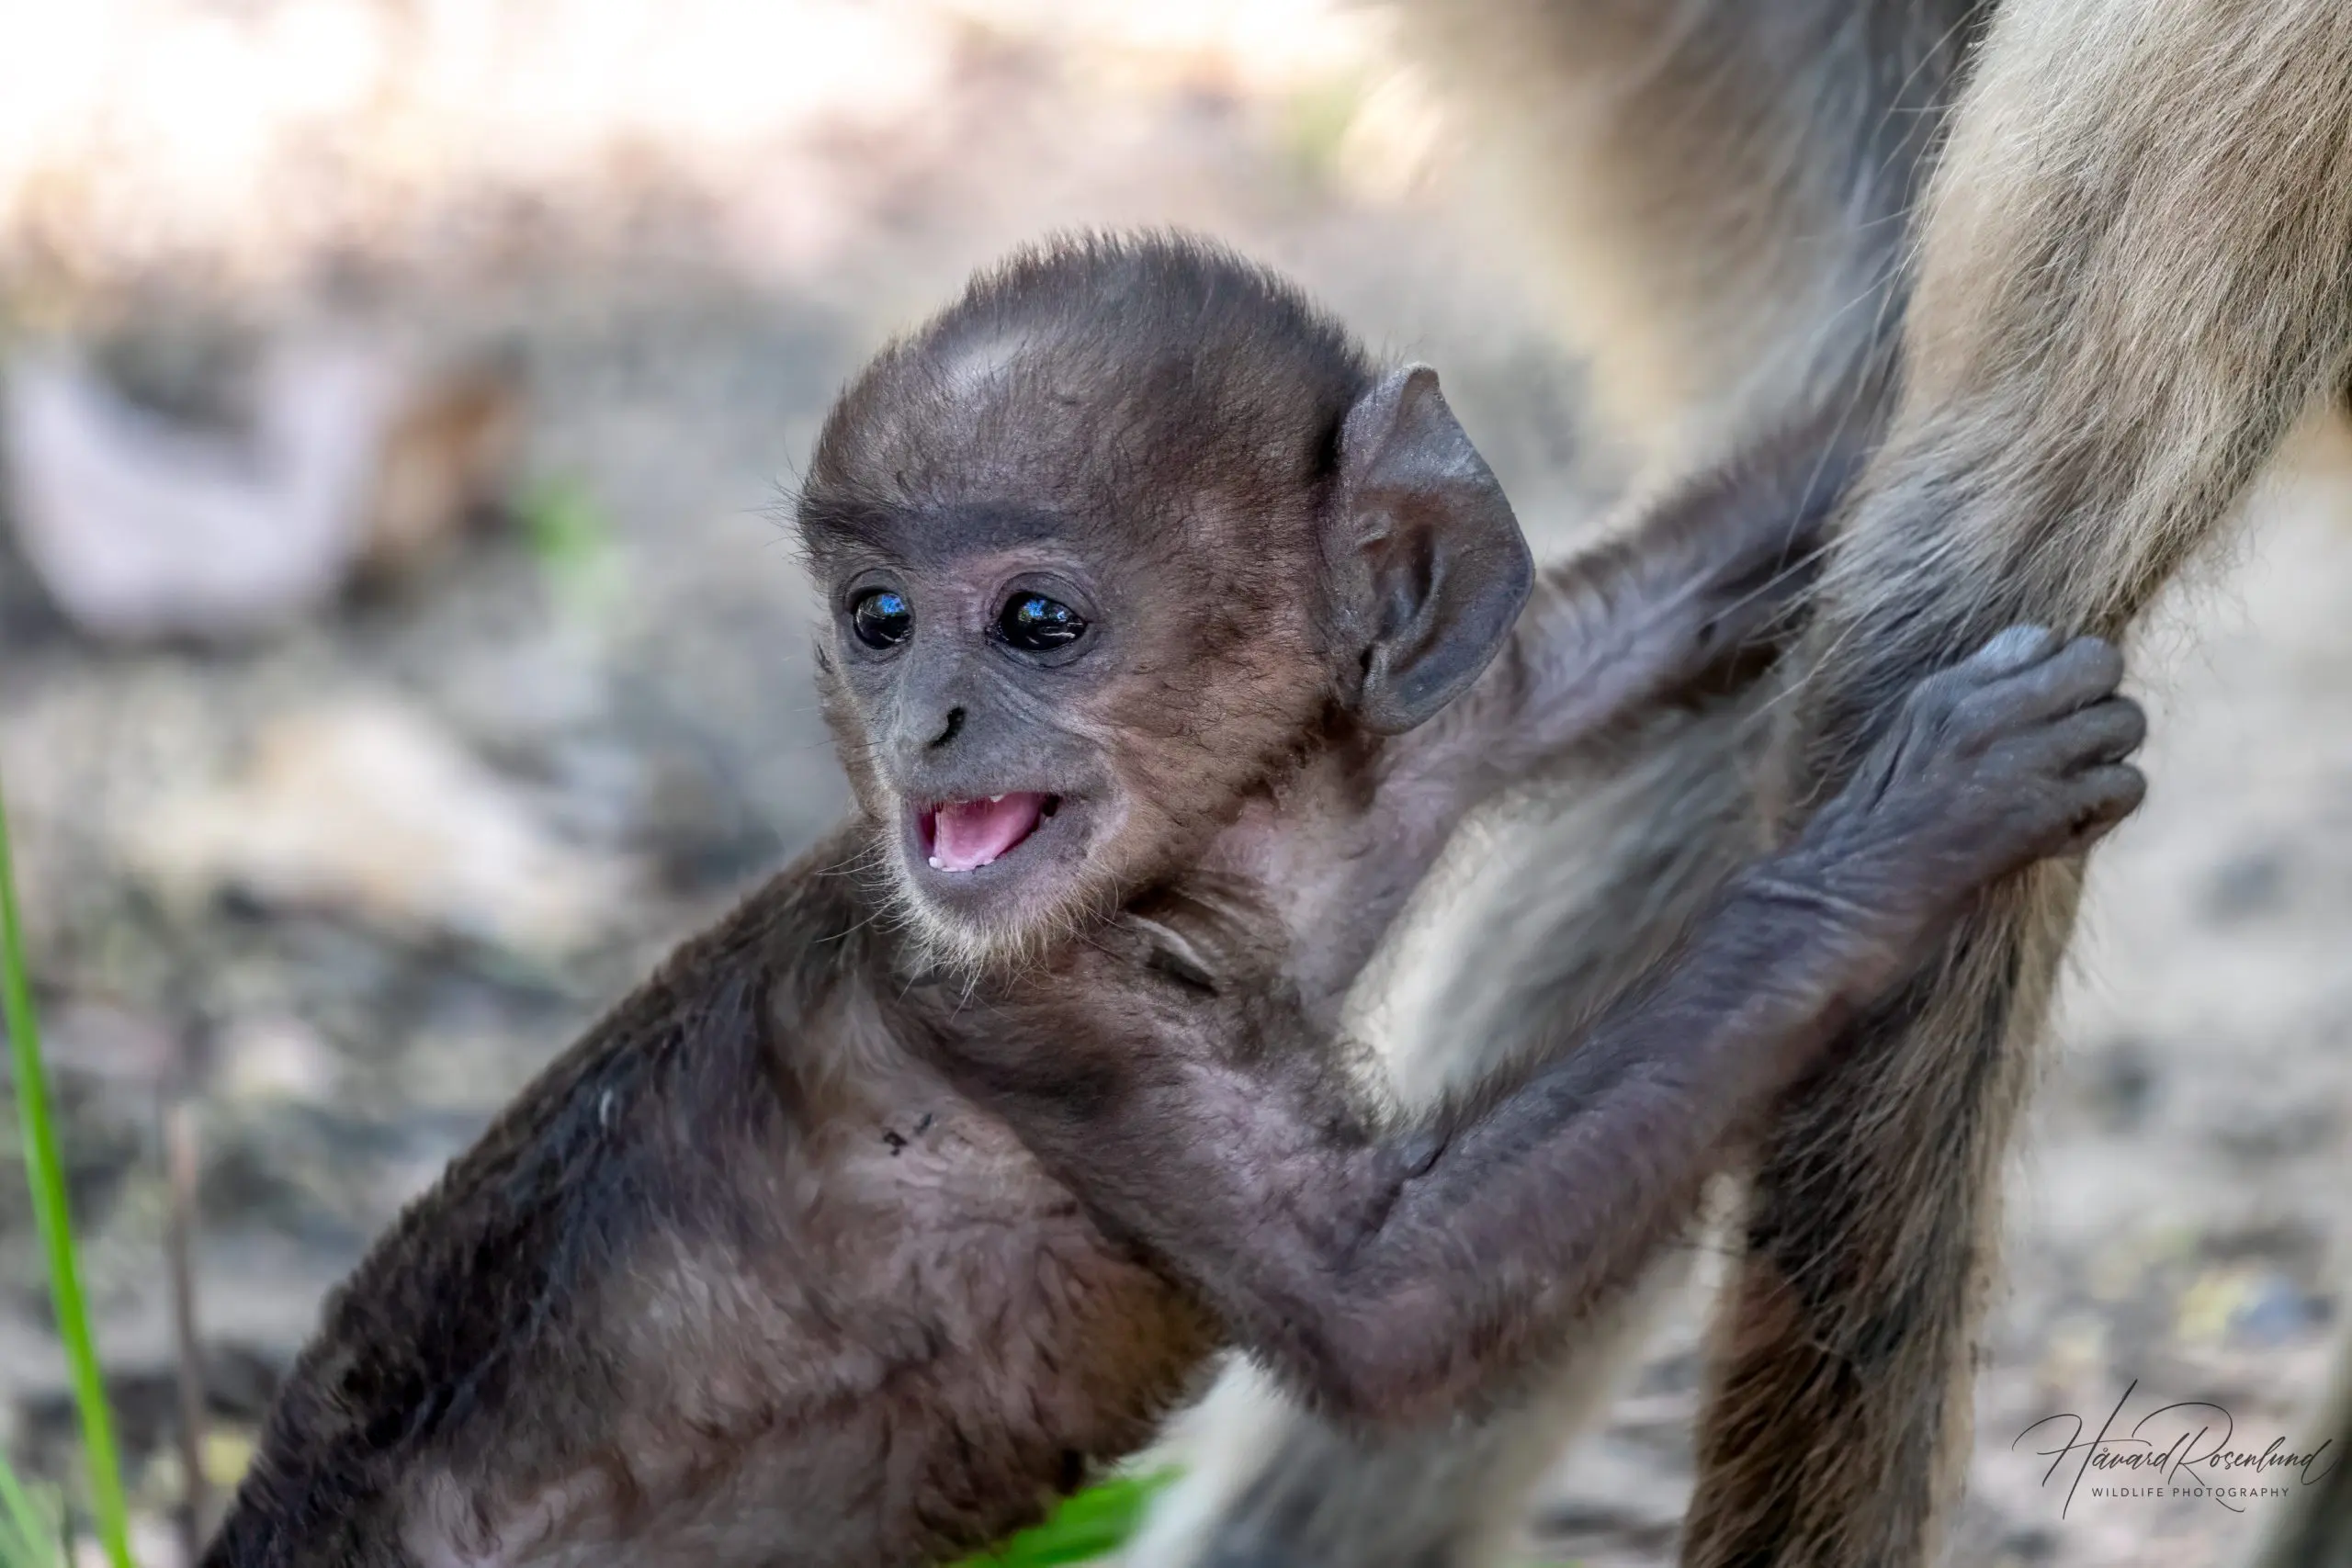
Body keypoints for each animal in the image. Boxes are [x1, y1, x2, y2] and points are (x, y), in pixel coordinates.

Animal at [202, 236, 2154, 1568]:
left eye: (1035, 623)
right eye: (879, 619)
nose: (924, 722)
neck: (1238, 851)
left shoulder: (1433, 726)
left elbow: (1654, 606)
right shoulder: (1013, 1000)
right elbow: (1383, 1307)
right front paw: (1919, 821)